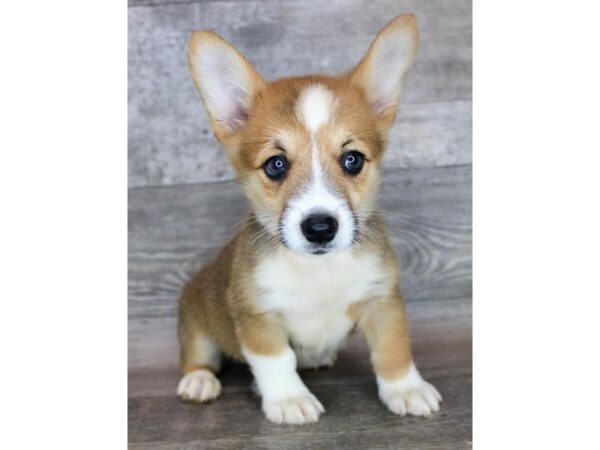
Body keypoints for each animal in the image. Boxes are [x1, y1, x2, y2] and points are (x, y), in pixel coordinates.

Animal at [177, 12, 440, 424]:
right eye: (276, 165)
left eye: (353, 160)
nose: (319, 229)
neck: (320, 271)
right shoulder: (258, 317)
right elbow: (276, 360)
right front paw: (288, 399)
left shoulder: (382, 301)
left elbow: (393, 350)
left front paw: (406, 389)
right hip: (197, 323)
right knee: (196, 357)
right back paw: (199, 381)